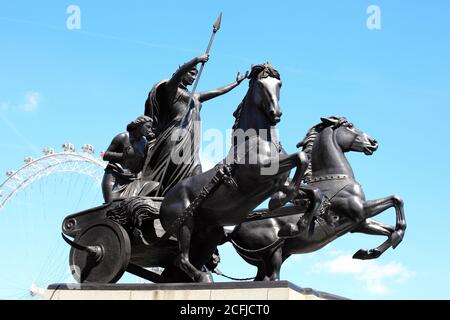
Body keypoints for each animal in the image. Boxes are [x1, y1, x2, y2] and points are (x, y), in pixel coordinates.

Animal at [158, 63, 310, 282]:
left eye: (279, 84)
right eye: (261, 84)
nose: (276, 113)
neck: (258, 141)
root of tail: (163, 202)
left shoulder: (279, 182)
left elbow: (312, 190)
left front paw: (296, 225)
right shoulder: (261, 171)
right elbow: (301, 158)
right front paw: (278, 202)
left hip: (208, 232)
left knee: (183, 261)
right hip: (184, 223)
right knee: (181, 258)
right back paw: (203, 278)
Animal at [229, 116, 408, 282]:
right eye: (350, 126)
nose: (373, 142)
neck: (336, 177)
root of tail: (233, 230)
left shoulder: (359, 223)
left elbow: (388, 228)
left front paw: (368, 252)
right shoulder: (359, 210)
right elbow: (396, 200)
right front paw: (392, 239)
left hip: (272, 257)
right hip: (273, 254)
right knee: (272, 278)